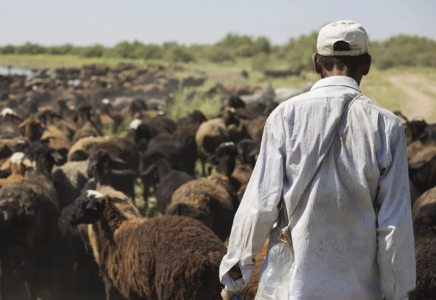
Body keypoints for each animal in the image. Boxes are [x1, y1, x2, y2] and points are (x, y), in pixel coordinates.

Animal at [69, 192, 225, 300]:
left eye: (83, 206)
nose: (70, 219)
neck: (114, 233)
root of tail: (210, 260)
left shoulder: (131, 291)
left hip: (179, 292)